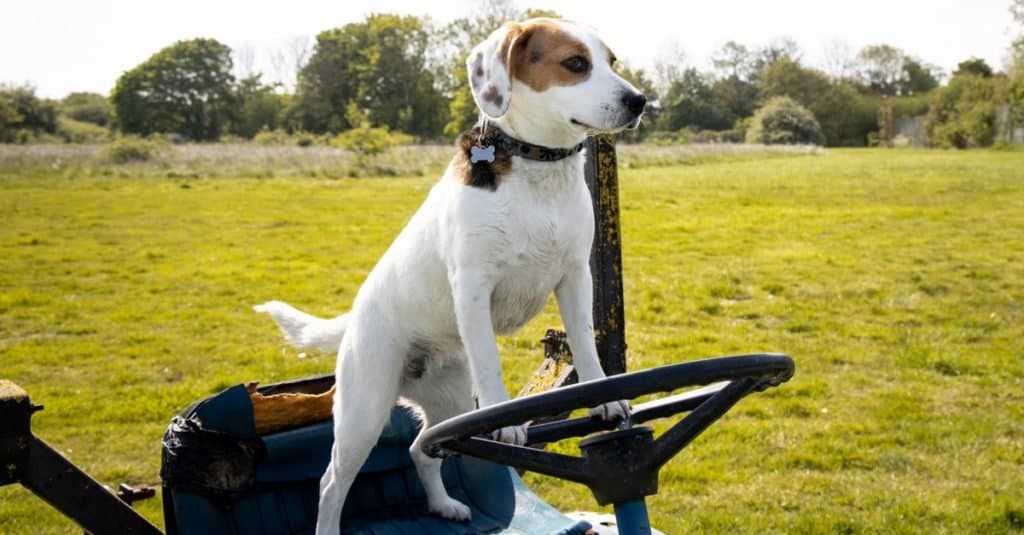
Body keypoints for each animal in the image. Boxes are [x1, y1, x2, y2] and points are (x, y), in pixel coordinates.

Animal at [260, 16, 647, 532]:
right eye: (575, 64)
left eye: (612, 61)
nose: (639, 101)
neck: (535, 169)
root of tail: (354, 318)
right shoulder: (473, 288)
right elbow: (492, 363)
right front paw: (507, 421)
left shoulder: (575, 279)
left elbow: (585, 344)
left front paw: (604, 398)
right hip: (363, 413)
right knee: (330, 484)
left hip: (453, 405)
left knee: (420, 451)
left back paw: (444, 504)